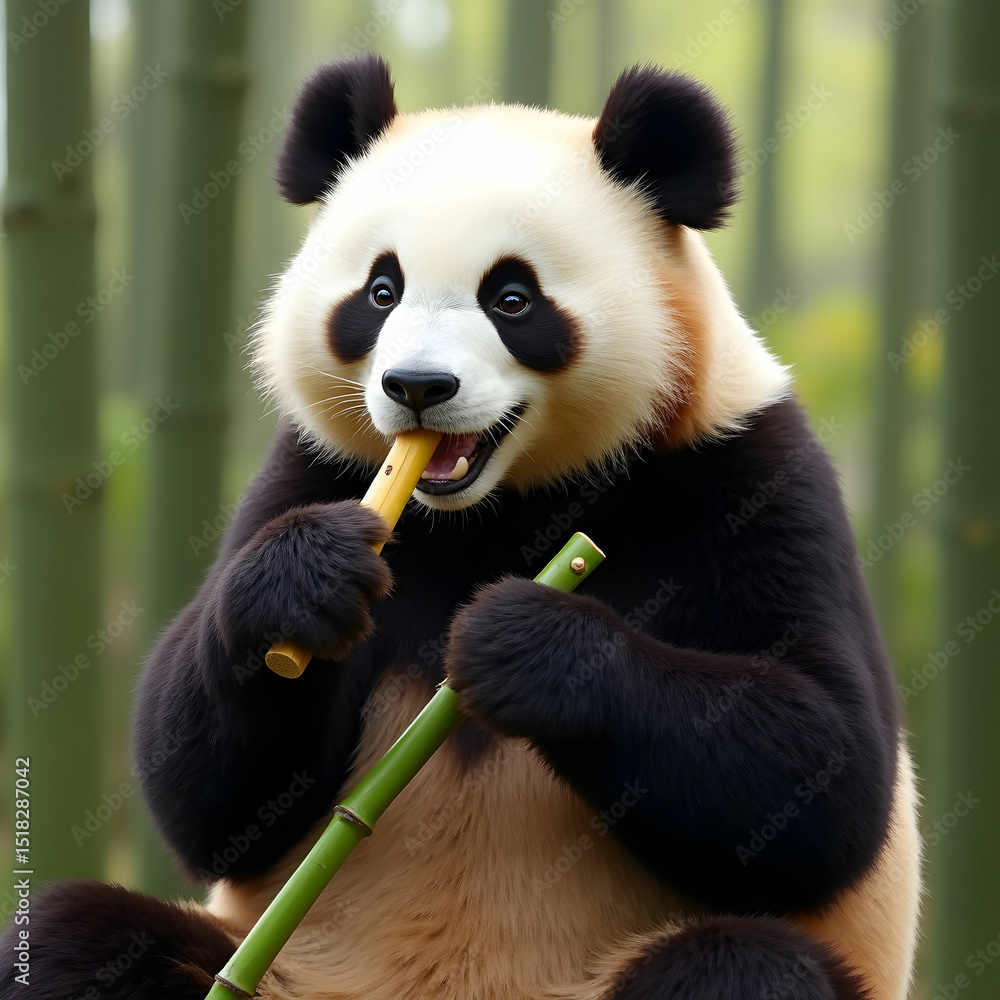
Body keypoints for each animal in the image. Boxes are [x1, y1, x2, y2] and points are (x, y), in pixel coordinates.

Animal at [2, 55, 920, 1000]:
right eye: (380, 291)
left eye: (512, 298)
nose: (415, 386)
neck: (494, 509)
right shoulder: (314, 467)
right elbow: (208, 798)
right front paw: (301, 593)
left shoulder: (745, 476)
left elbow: (827, 774)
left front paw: (519, 642)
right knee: (77, 938)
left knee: (744, 964)